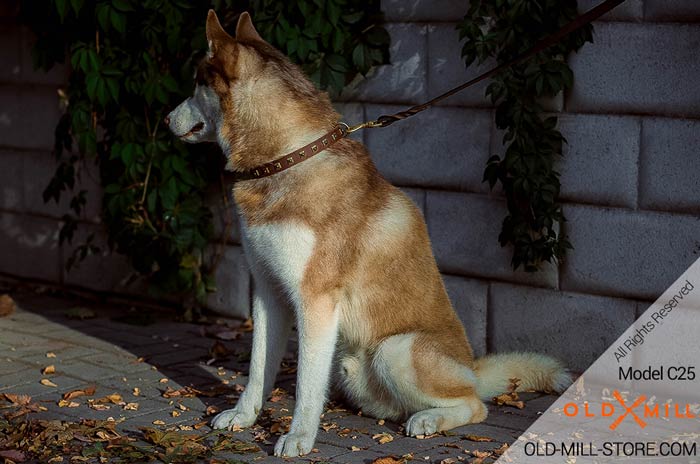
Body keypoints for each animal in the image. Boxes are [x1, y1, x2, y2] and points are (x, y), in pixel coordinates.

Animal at [167, 10, 572, 456]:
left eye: (196, 83)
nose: (166, 119)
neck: (288, 158)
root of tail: (472, 368)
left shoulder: (316, 300)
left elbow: (306, 383)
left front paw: (299, 436)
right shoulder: (268, 291)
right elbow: (258, 367)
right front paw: (243, 416)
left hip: (396, 349)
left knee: (475, 405)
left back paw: (429, 419)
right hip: (349, 366)